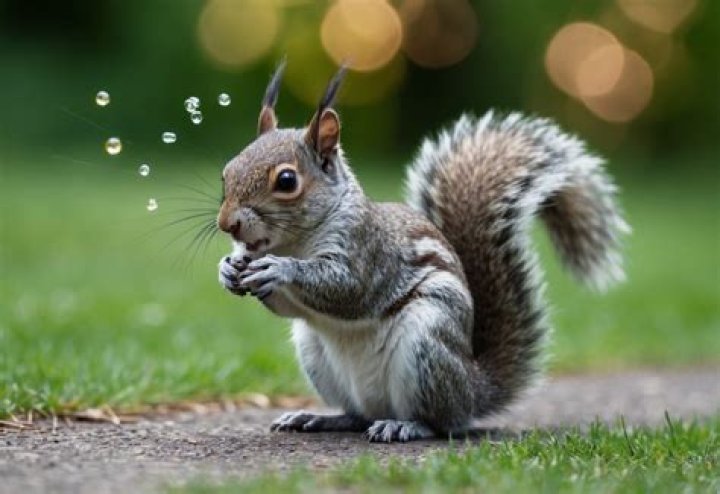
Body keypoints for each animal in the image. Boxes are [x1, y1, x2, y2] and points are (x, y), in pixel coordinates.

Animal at [217, 62, 629, 442]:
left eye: (287, 180)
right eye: (226, 172)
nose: (226, 224)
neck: (295, 241)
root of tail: (473, 390)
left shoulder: (370, 252)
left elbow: (348, 289)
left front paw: (280, 269)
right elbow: (286, 305)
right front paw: (229, 268)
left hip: (427, 343)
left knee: (440, 422)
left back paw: (406, 425)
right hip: (316, 354)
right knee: (357, 416)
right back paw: (319, 418)